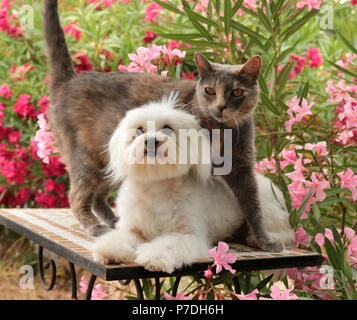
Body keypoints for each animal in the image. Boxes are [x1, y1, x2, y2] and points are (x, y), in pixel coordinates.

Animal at [91, 92, 292, 272]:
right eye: (139, 130)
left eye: (167, 128)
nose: (151, 141)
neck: (157, 185)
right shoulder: (134, 229)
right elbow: (121, 237)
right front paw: (109, 249)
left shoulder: (188, 235)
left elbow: (167, 245)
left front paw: (153, 257)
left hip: (265, 210)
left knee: (285, 232)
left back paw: (255, 238)